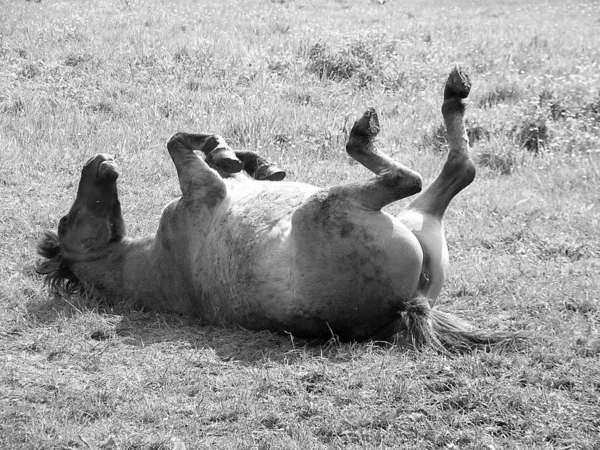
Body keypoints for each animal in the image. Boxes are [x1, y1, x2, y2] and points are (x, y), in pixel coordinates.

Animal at [36, 67, 516, 350]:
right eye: (65, 221)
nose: (98, 161)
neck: (151, 258)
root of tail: (408, 305)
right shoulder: (203, 190)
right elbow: (177, 142)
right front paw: (224, 151)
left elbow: (226, 158)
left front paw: (249, 160)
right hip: (338, 204)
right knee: (424, 175)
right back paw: (372, 128)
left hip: (416, 218)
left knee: (457, 170)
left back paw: (453, 92)